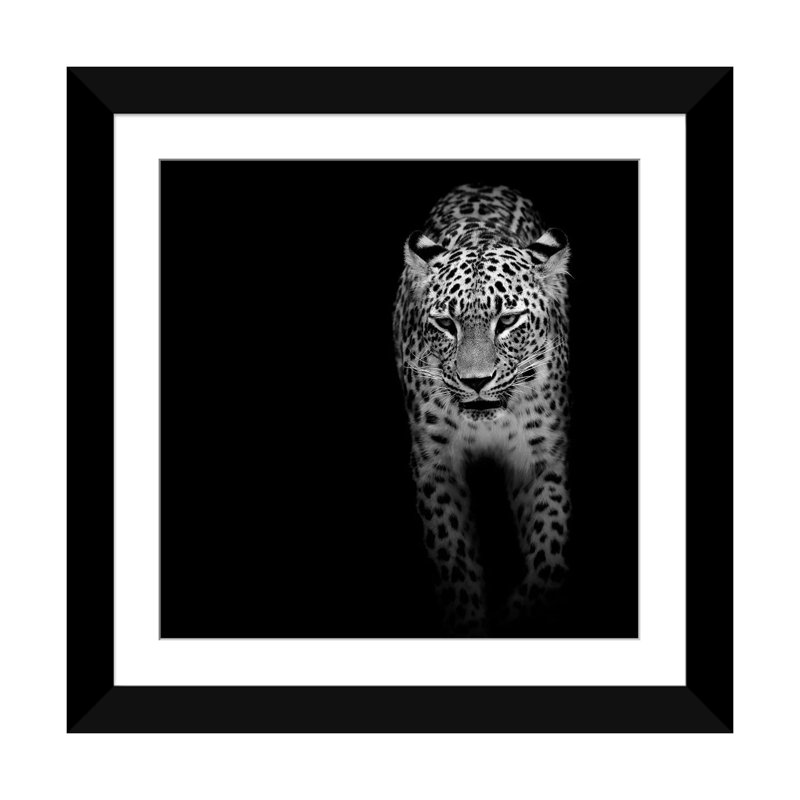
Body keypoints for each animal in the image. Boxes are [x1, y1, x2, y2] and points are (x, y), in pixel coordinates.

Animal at [393, 183, 572, 635]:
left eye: (507, 321)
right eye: (446, 324)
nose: (476, 380)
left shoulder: (540, 458)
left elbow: (549, 556)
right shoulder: (435, 462)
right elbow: (454, 559)